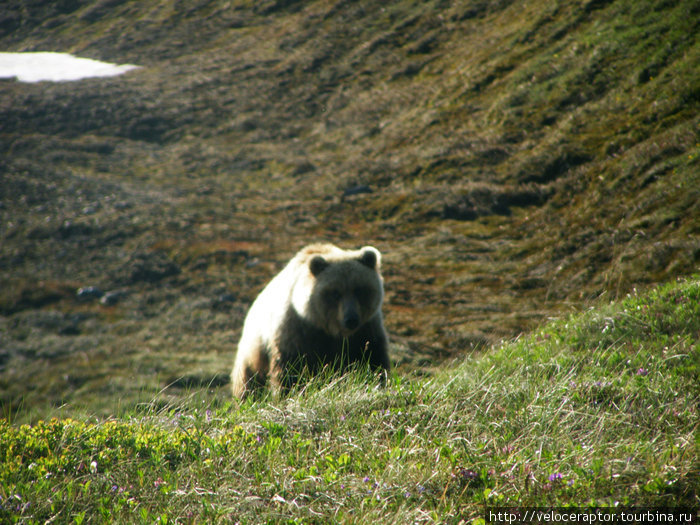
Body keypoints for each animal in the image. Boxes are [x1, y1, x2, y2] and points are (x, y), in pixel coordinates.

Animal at [232, 244, 392, 396]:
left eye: (359, 290)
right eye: (335, 293)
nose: (351, 319)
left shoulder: (366, 330)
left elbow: (372, 359)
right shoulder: (298, 332)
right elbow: (290, 370)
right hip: (253, 351)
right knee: (249, 381)